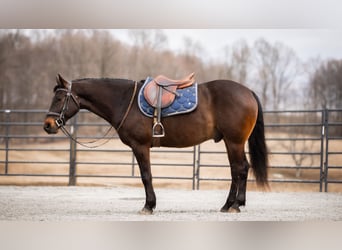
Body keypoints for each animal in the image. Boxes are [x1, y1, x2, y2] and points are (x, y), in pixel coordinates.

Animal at [43, 73, 268, 214]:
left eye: (60, 98)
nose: (47, 125)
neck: (125, 100)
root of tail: (248, 91)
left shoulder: (140, 146)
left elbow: (146, 176)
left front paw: (148, 206)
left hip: (234, 142)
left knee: (239, 169)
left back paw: (233, 205)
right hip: (233, 143)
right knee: (240, 169)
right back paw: (233, 204)